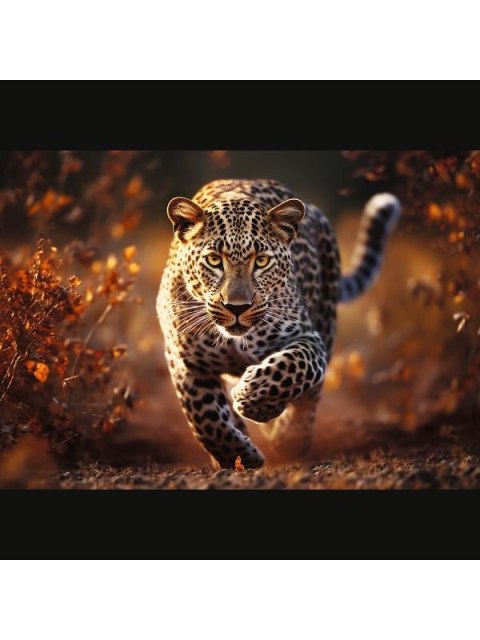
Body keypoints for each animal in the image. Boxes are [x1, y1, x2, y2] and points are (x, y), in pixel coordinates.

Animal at [157, 179, 401, 469]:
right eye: (214, 260)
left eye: (261, 261)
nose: (237, 307)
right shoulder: (184, 360)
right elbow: (205, 417)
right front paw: (238, 455)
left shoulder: (308, 338)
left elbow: (292, 367)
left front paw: (254, 398)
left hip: (327, 320)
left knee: (310, 397)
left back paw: (290, 437)